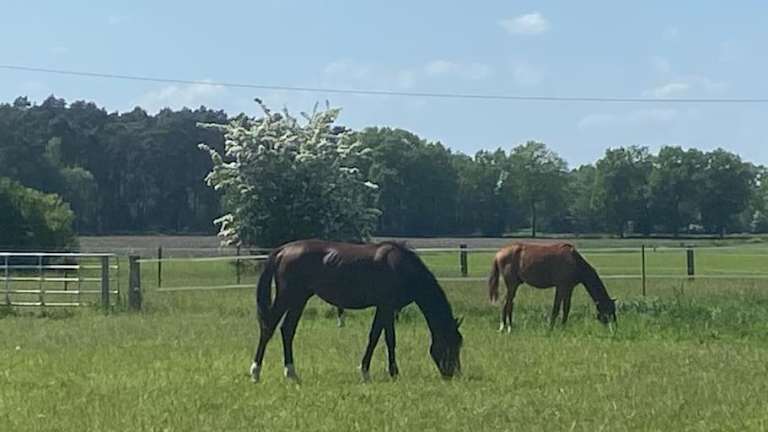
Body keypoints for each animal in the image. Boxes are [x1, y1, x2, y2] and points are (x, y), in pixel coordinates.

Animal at [250, 239, 463, 382]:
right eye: (451, 343)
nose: (454, 374)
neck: (401, 266)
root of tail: (283, 250)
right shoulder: (386, 306)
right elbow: (382, 338)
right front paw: (379, 372)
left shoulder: (385, 308)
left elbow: (381, 338)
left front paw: (380, 371)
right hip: (287, 296)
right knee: (268, 328)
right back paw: (255, 372)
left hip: (299, 299)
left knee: (287, 330)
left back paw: (292, 373)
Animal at [488, 242, 616, 332]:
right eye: (609, 310)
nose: (614, 327)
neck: (575, 261)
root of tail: (499, 253)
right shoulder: (561, 287)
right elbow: (556, 308)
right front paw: (551, 327)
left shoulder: (569, 288)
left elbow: (566, 308)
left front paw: (563, 327)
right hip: (512, 284)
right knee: (507, 303)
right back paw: (507, 327)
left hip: (514, 285)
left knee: (508, 303)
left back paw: (506, 326)